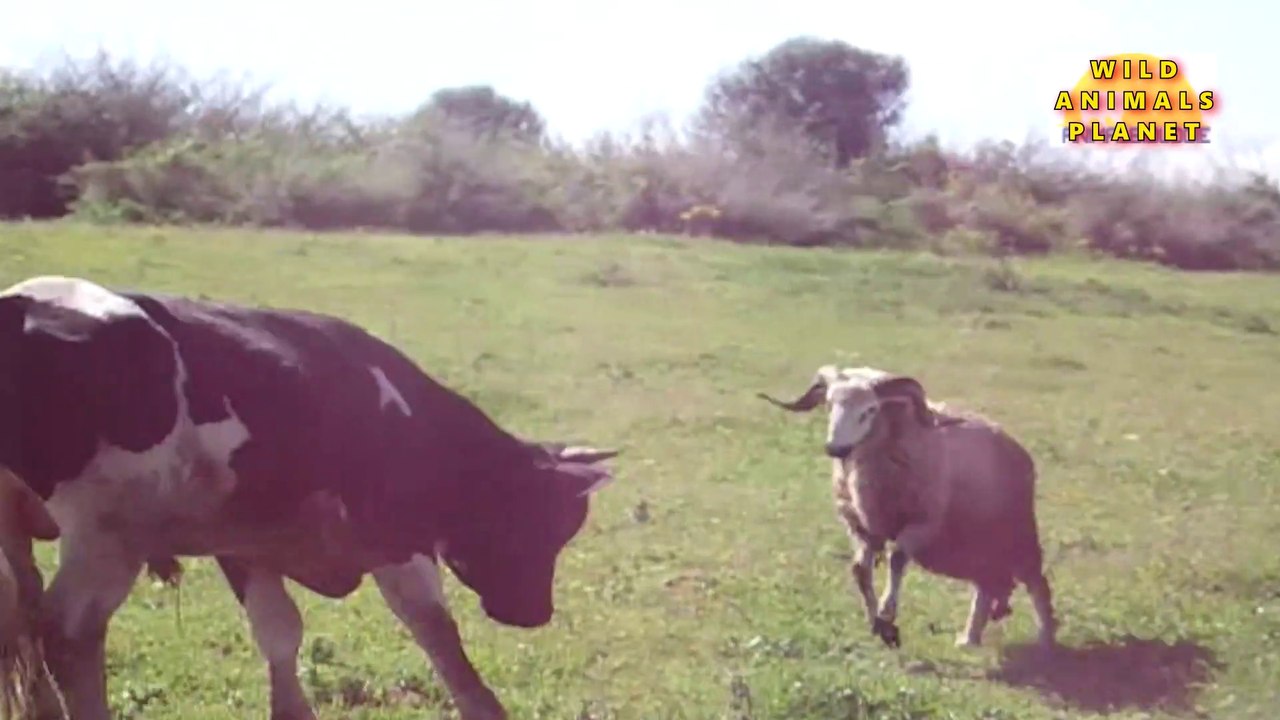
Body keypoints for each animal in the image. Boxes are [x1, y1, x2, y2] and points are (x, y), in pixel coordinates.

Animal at [0, 275, 621, 720]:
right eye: (545, 524)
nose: (536, 615)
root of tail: (22, 306)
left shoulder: (243, 543)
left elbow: (279, 631)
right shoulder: (394, 533)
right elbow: (435, 628)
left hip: (23, 530)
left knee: (21, 617)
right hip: (109, 535)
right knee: (66, 631)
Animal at [758, 365, 1057, 650]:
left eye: (870, 409)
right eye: (829, 404)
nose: (835, 448)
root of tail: (1016, 448)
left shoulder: (922, 522)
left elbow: (897, 558)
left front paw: (886, 613)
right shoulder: (862, 527)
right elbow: (860, 571)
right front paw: (878, 624)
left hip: (1017, 533)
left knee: (1037, 583)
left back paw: (1045, 639)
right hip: (976, 547)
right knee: (986, 586)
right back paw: (969, 639)